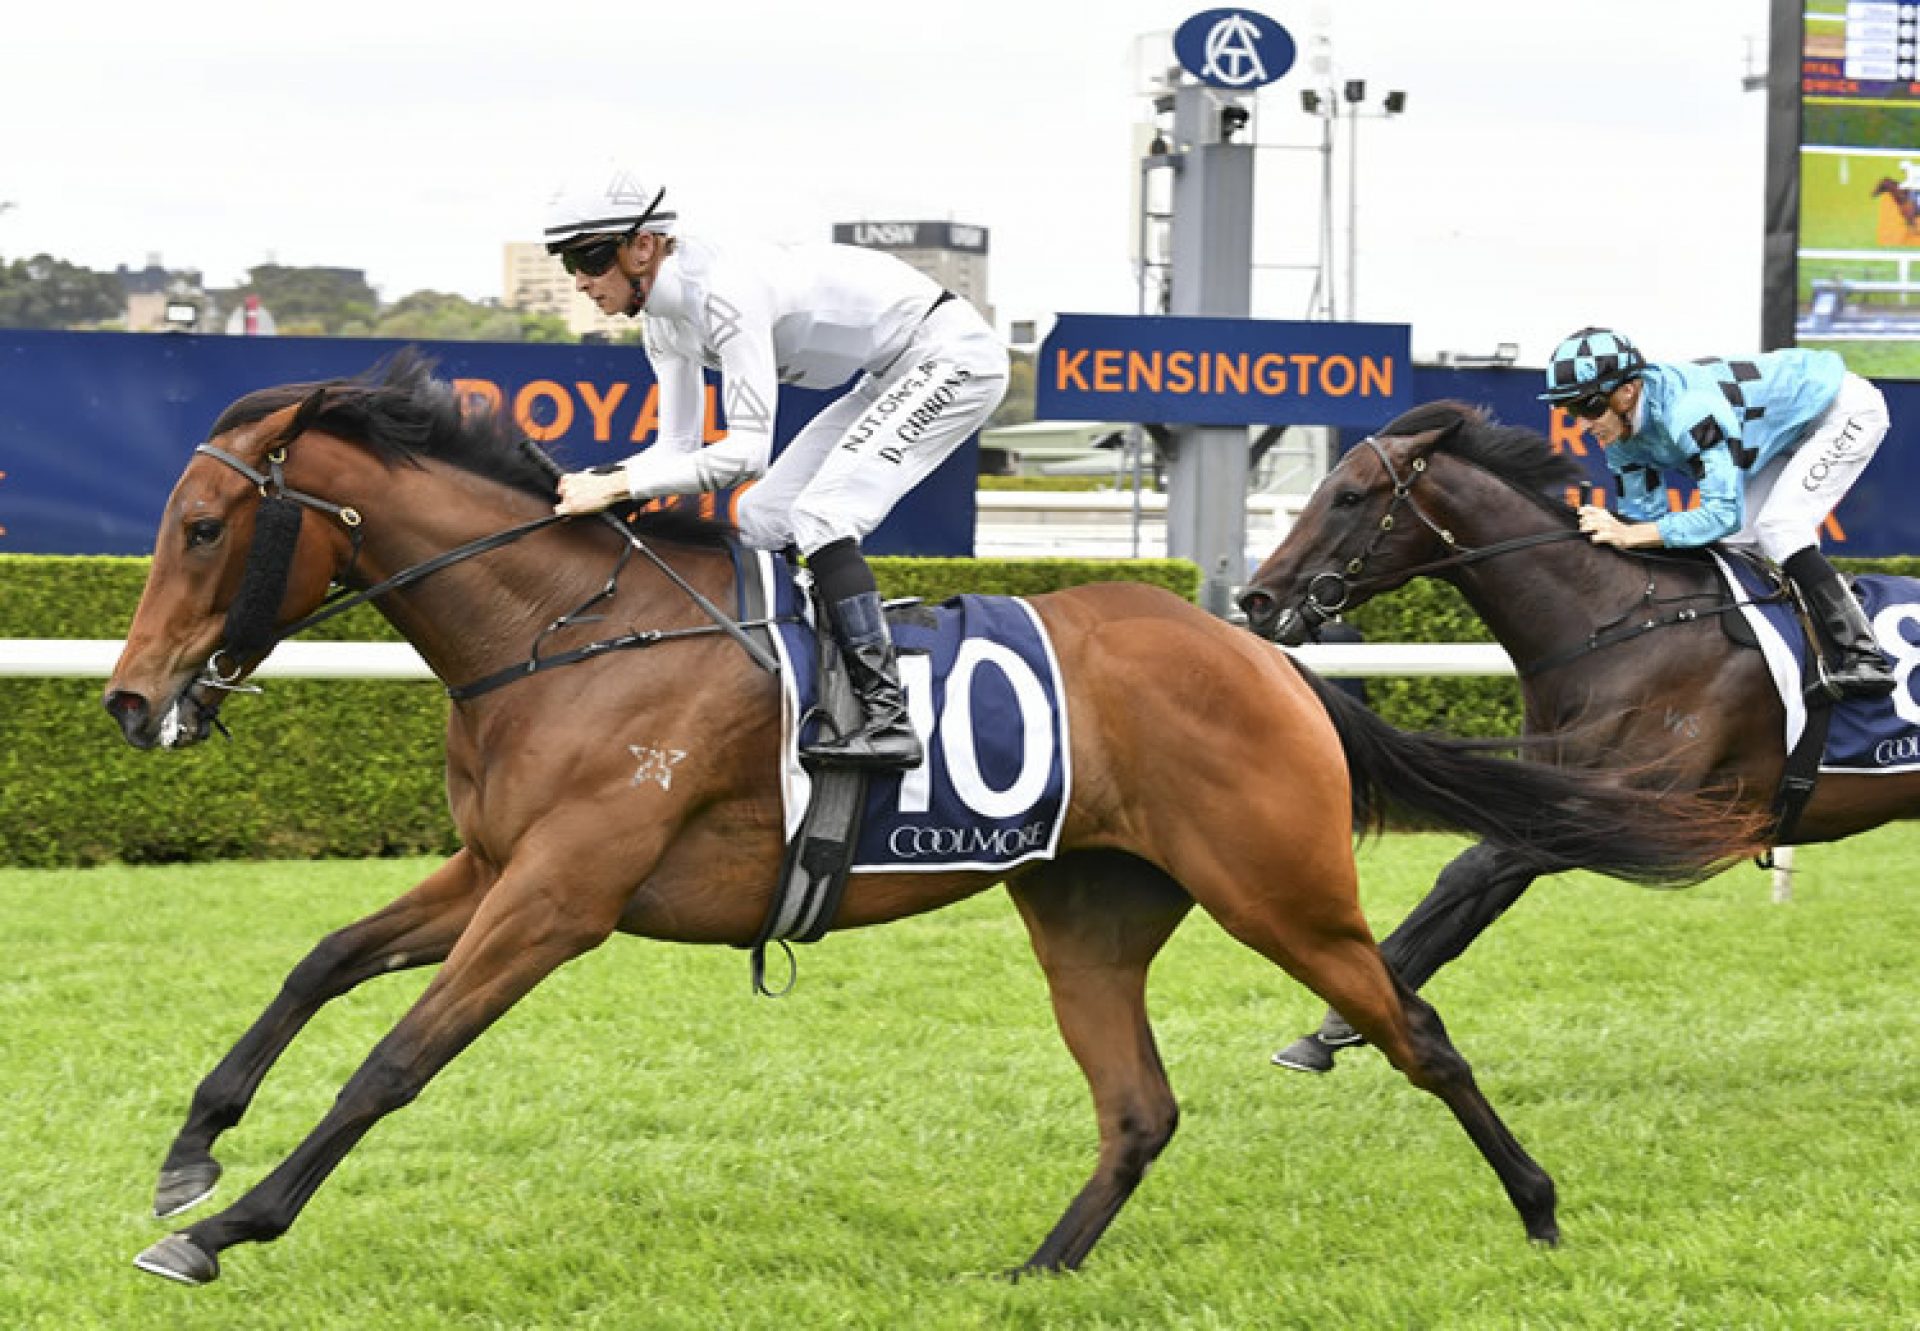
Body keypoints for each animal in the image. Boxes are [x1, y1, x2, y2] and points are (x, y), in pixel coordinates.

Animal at [101, 359, 1758, 1282]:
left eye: (202, 525)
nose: (128, 699)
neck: (563, 630)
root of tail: (1264, 655)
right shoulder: (498, 863)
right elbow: (322, 958)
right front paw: (190, 1151)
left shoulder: (561, 895)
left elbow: (393, 1058)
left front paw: (221, 1226)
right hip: (1089, 905)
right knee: (1140, 1106)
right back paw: (1038, 1265)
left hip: (1281, 889)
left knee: (1416, 1029)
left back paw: (1540, 1208)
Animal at [1236, 397, 1912, 1067]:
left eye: (1348, 496)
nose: (1257, 599)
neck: (1617, 624)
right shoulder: (1551, 788)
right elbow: (1476, 887)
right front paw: (1335, 1027)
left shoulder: (1644, 807)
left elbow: (1471, 869)